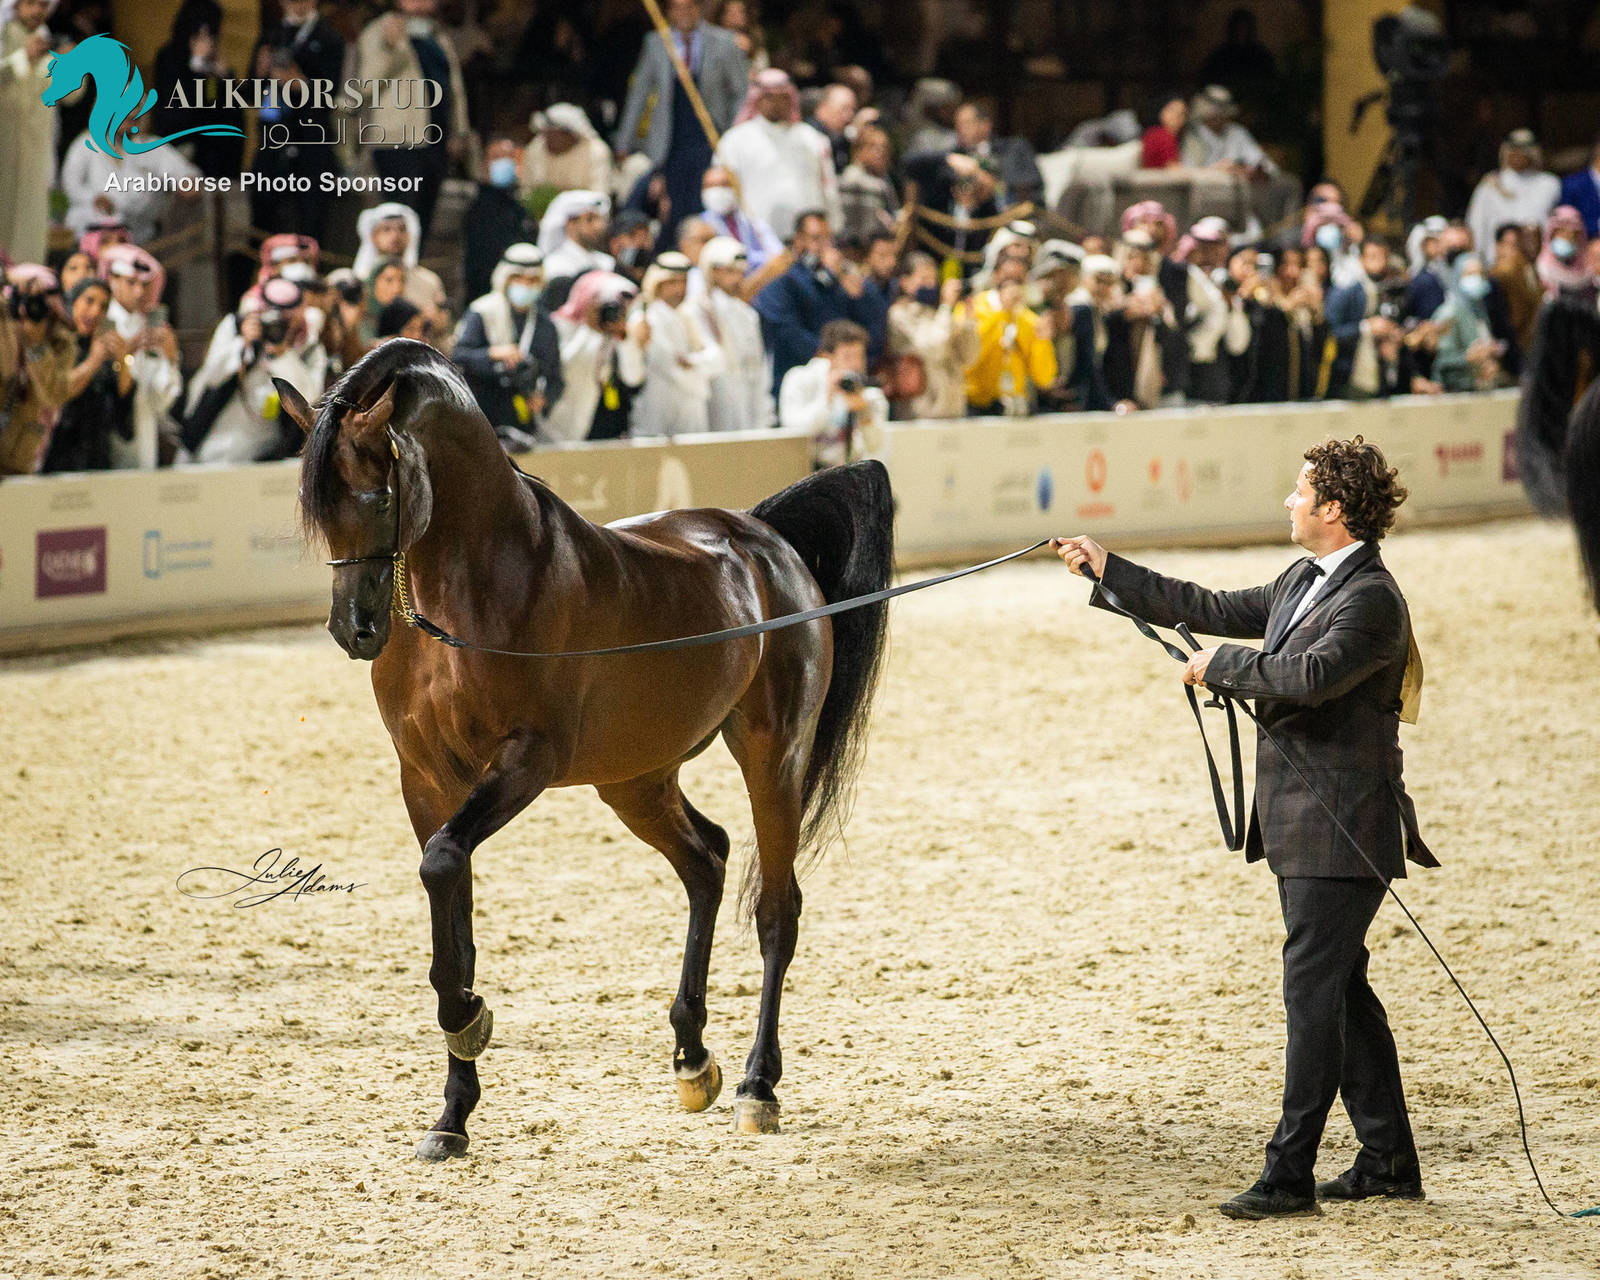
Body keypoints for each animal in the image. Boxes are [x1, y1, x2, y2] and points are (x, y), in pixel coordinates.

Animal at [276, 339, 893, 1158]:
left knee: (775, 909)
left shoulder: (526, 760)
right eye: (317, 511)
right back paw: (692, 1059)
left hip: (774, 756)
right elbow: (451, 904)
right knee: (707, 860)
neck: (478, 581)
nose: (357, 629)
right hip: (635, 778)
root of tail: (767, 543)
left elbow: (443, 865)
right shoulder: (428, 780)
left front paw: (470, 1018)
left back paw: (758, 1086)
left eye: (378, 496)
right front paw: (453, 1112)